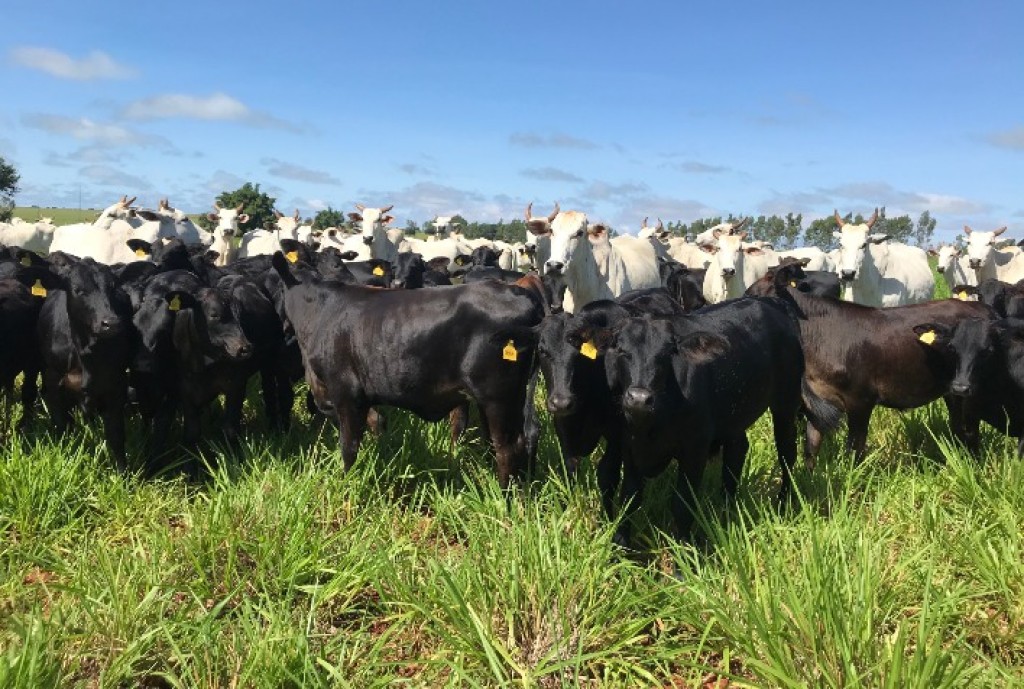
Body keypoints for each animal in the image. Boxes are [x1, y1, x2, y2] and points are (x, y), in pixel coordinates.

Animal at [271, 252, 544, 486]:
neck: (319, 311)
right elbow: (376, 424)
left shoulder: (346, 394)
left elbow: (349, 448)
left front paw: (347, 485)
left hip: (498, 397)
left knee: (508, 447)